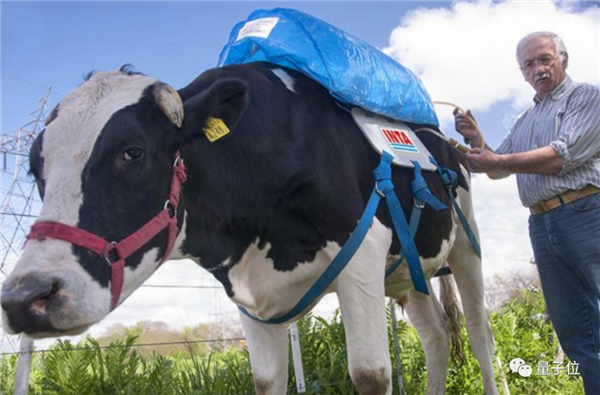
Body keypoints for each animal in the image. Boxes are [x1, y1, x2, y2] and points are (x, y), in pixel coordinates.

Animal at [0, 63, 496, 394]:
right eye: (35, 168)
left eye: (133, 151)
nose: (26, 298)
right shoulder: (247, 288)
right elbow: (266, 379)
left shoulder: (363, 256)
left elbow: (370, 375)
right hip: (406, 274)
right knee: (436, 337)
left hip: (466, 249)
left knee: (478, 335)